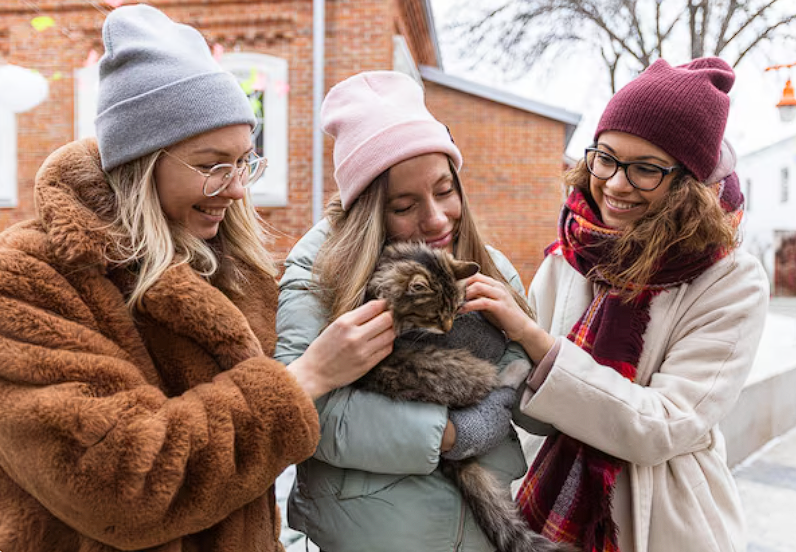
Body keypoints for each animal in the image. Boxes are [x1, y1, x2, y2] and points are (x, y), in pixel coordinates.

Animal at [354, 244, 580, 552]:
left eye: (455, 308)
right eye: (433, 316)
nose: (449, 328)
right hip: (451, 369)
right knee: (492, 384)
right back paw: (518, 370)